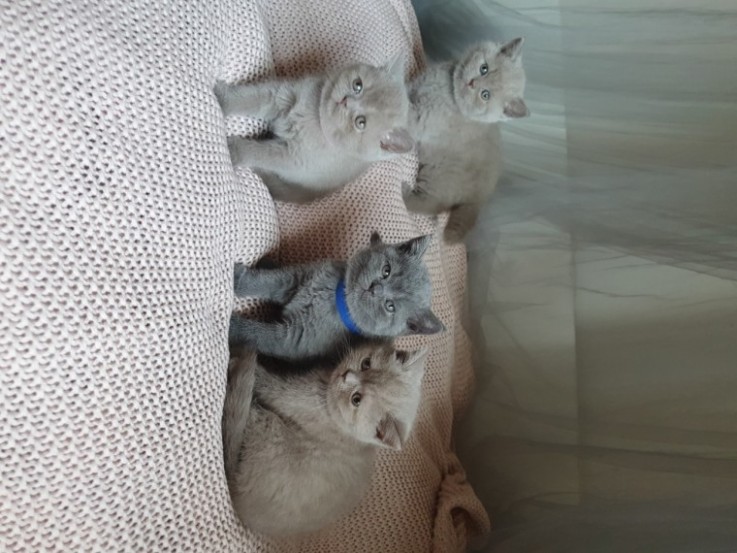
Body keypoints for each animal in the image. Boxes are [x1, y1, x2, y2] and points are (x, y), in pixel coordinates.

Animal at [214, 60, 414, 203]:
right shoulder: (281, 95)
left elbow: (262, 152)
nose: (345, 101)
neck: (315, 118)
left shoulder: (294, 159)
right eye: (357, 85)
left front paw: (233, 150)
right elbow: (251, 98)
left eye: (360, 122)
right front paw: (222, 99)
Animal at [221, 340, 426, 536]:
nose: (347, 375)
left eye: (356, 399)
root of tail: (237, 497)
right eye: (366, 363)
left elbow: (265, 381)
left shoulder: (287, 396)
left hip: (267, 427)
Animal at [229, 231, 442, 360]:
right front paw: (236, 278)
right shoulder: (297, 276)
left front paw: (231, 325)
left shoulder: (292, 339)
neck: (335, 297)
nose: (375, 289)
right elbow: (268, 281)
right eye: (386, 270)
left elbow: (258, 334)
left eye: (390, 306)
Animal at [400, 40, 528, 243]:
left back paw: (404, 194)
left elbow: (406, 110)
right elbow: (407, 89)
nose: (472, 83)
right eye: (484, 68)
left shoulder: (423, 119)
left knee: (430, 204)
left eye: (485, 95)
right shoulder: (418, 87)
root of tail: (481, 198)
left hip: (437, 177)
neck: (449, 92)